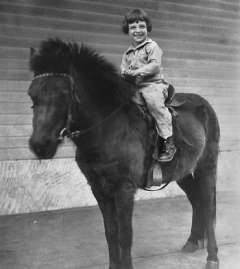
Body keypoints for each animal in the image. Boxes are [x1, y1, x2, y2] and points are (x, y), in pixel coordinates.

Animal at [27, 38, 219, 268]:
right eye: (32, 94)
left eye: (64, 94)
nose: (40, 145)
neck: (107, 128)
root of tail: (205, 105)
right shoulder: (99, 189)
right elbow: (111, 233)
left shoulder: (124, 190)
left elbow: (125, 236)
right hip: (184, 173)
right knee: (197, 203)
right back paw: (192, 241)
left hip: (207, 168)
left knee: (208, 208)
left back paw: (213, 257)